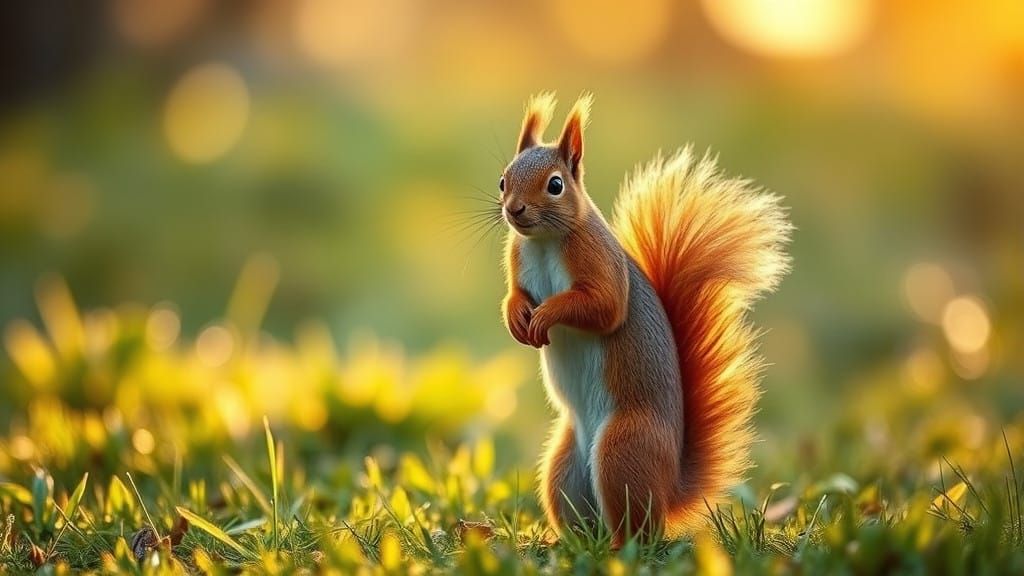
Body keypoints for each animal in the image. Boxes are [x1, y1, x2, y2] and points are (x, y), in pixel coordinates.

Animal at [498, 93, 791, 546]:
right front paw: (516, 316)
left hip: (624, 449)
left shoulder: (599, 262)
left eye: (555, 184)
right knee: (585, 518)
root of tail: (668, 490)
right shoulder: (519, 256)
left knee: (636, 530)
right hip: (563, 467)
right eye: (503, 180)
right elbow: (515, 295)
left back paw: (619, 548)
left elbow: (604, 307)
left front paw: (546, 314)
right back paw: (566, 541)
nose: (513, 210)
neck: (545, 242)